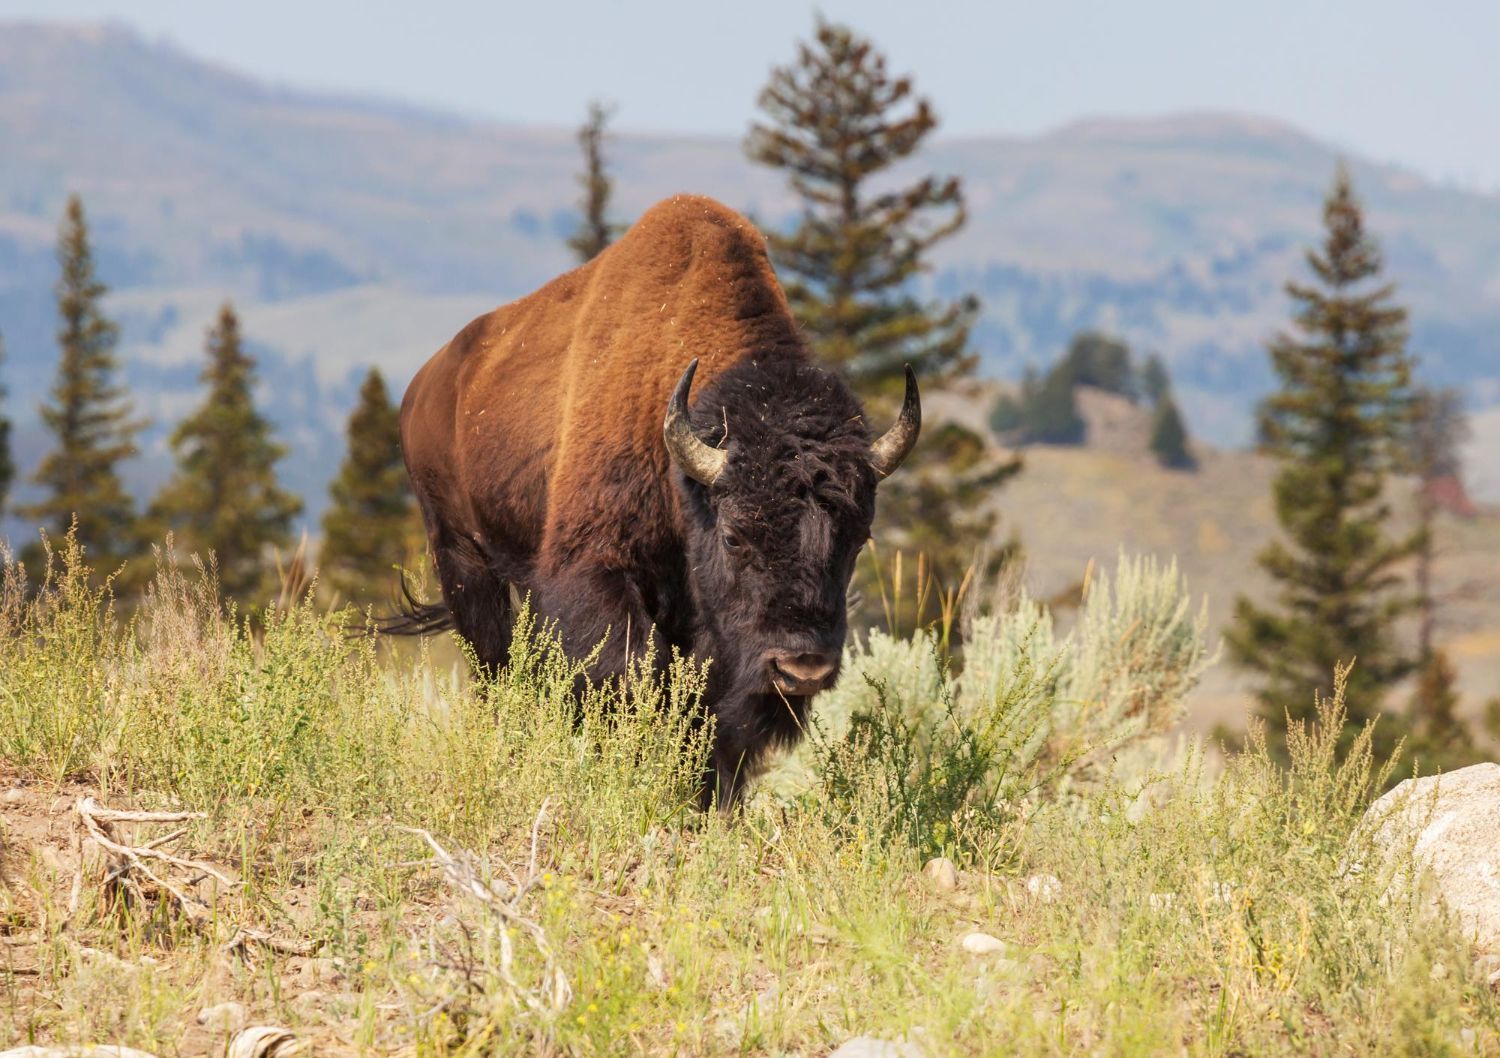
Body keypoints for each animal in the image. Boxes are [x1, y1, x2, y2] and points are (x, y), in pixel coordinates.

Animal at [393, 194, 919, 804]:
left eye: (857, 540)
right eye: (734, 535)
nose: (801, 668)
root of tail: (425, 386)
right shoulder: (597, 571)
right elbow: (633, 675)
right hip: (462, 558)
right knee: (495, 666)